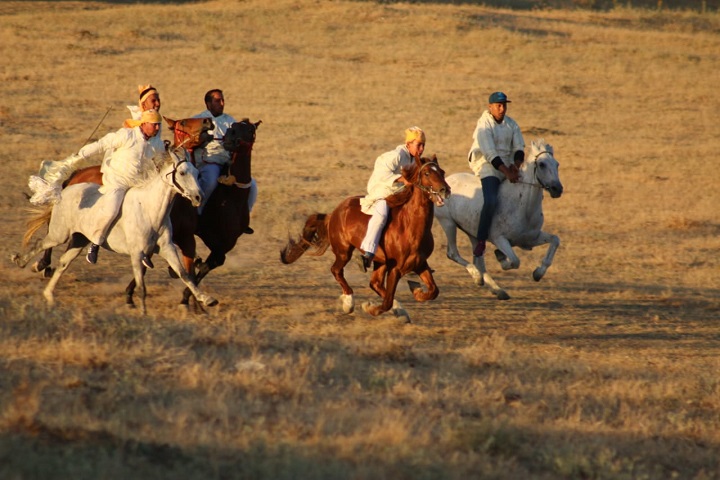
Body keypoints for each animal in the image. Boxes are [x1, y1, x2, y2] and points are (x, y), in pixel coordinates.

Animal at [11, 150, 218, 316]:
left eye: (198, 173)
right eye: (182, 173)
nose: (199, 197)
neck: (150, 210)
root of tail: (67, 188)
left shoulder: (167, 248)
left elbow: (185, 274)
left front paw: (207, 300)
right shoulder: (137, 254)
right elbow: (141, 285)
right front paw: (142, 311)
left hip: (79, 241)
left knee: (63, 263)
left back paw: (49, 295)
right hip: (59, 234)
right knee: (41, 244)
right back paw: (20, 261)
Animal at [31, 115, 214, 278]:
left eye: (197, 174)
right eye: (183, 122)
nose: (208, 121)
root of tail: (78, 173)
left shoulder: (186, 240)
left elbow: (188, 274)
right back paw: (43, 264)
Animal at [282, 157, 450, 322]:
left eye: (442, 172)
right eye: (427, 173)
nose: (445, 190)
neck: (410, 227)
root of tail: (334, 212)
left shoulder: (420, 263)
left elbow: (433, 291)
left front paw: (416, 289)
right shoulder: (395, 268)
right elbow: (387, 301)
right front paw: (369, 307)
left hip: (380, 261)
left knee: (374, 283)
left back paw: (399, 310)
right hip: (344, 252)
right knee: (337, 270)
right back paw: (349, 302)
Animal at [434, 137, 564, 300]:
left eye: (557, 164)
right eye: (542, 164)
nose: (557, 189)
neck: (523, 206)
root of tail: (446, 181)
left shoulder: (531, 238)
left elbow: (555, 240)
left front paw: (538, 274)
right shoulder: (499, 239)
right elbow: (515, 261)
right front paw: (501, 257)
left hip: (473, 234)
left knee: (479, 260)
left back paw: (497, 289)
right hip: (448, 223)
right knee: (453, 253)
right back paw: (477, 277)